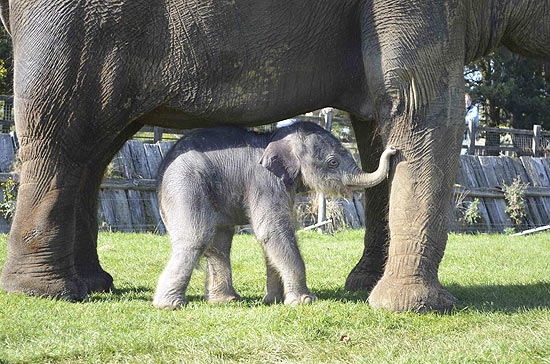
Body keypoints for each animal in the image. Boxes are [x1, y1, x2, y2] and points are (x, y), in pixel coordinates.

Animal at [154, 123, 396, 310]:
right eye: (333, 162)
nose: (393, 149)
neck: (275, 138)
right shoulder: (265, 182)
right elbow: (273, 231)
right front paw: (304, 301)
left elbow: (275, 236)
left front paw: (274, 300)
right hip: (184, 184)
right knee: (196, 237)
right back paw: (170, 305)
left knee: (220, 241)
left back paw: (225, 301)